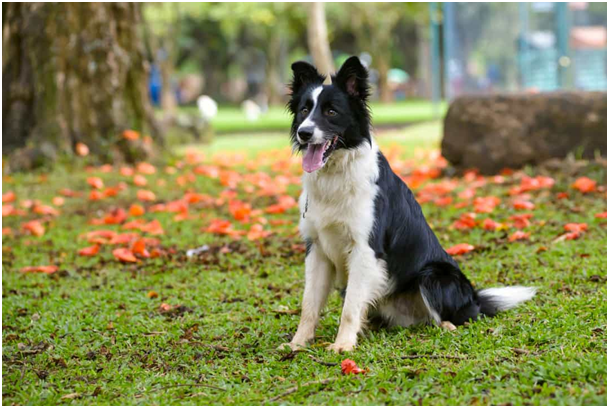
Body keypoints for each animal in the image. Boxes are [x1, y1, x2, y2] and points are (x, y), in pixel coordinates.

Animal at [282, 55, 536, 352]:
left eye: (331, 112)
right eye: (304, 110)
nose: (304, 133)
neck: (335, 176)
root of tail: (474, 298)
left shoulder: (365, 250)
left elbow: (350, 309)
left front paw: (342, 345)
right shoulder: (317, 248)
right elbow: (309, 305)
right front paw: (298, 343)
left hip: (433, 276)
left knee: (454, 317)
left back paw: (447, 326)